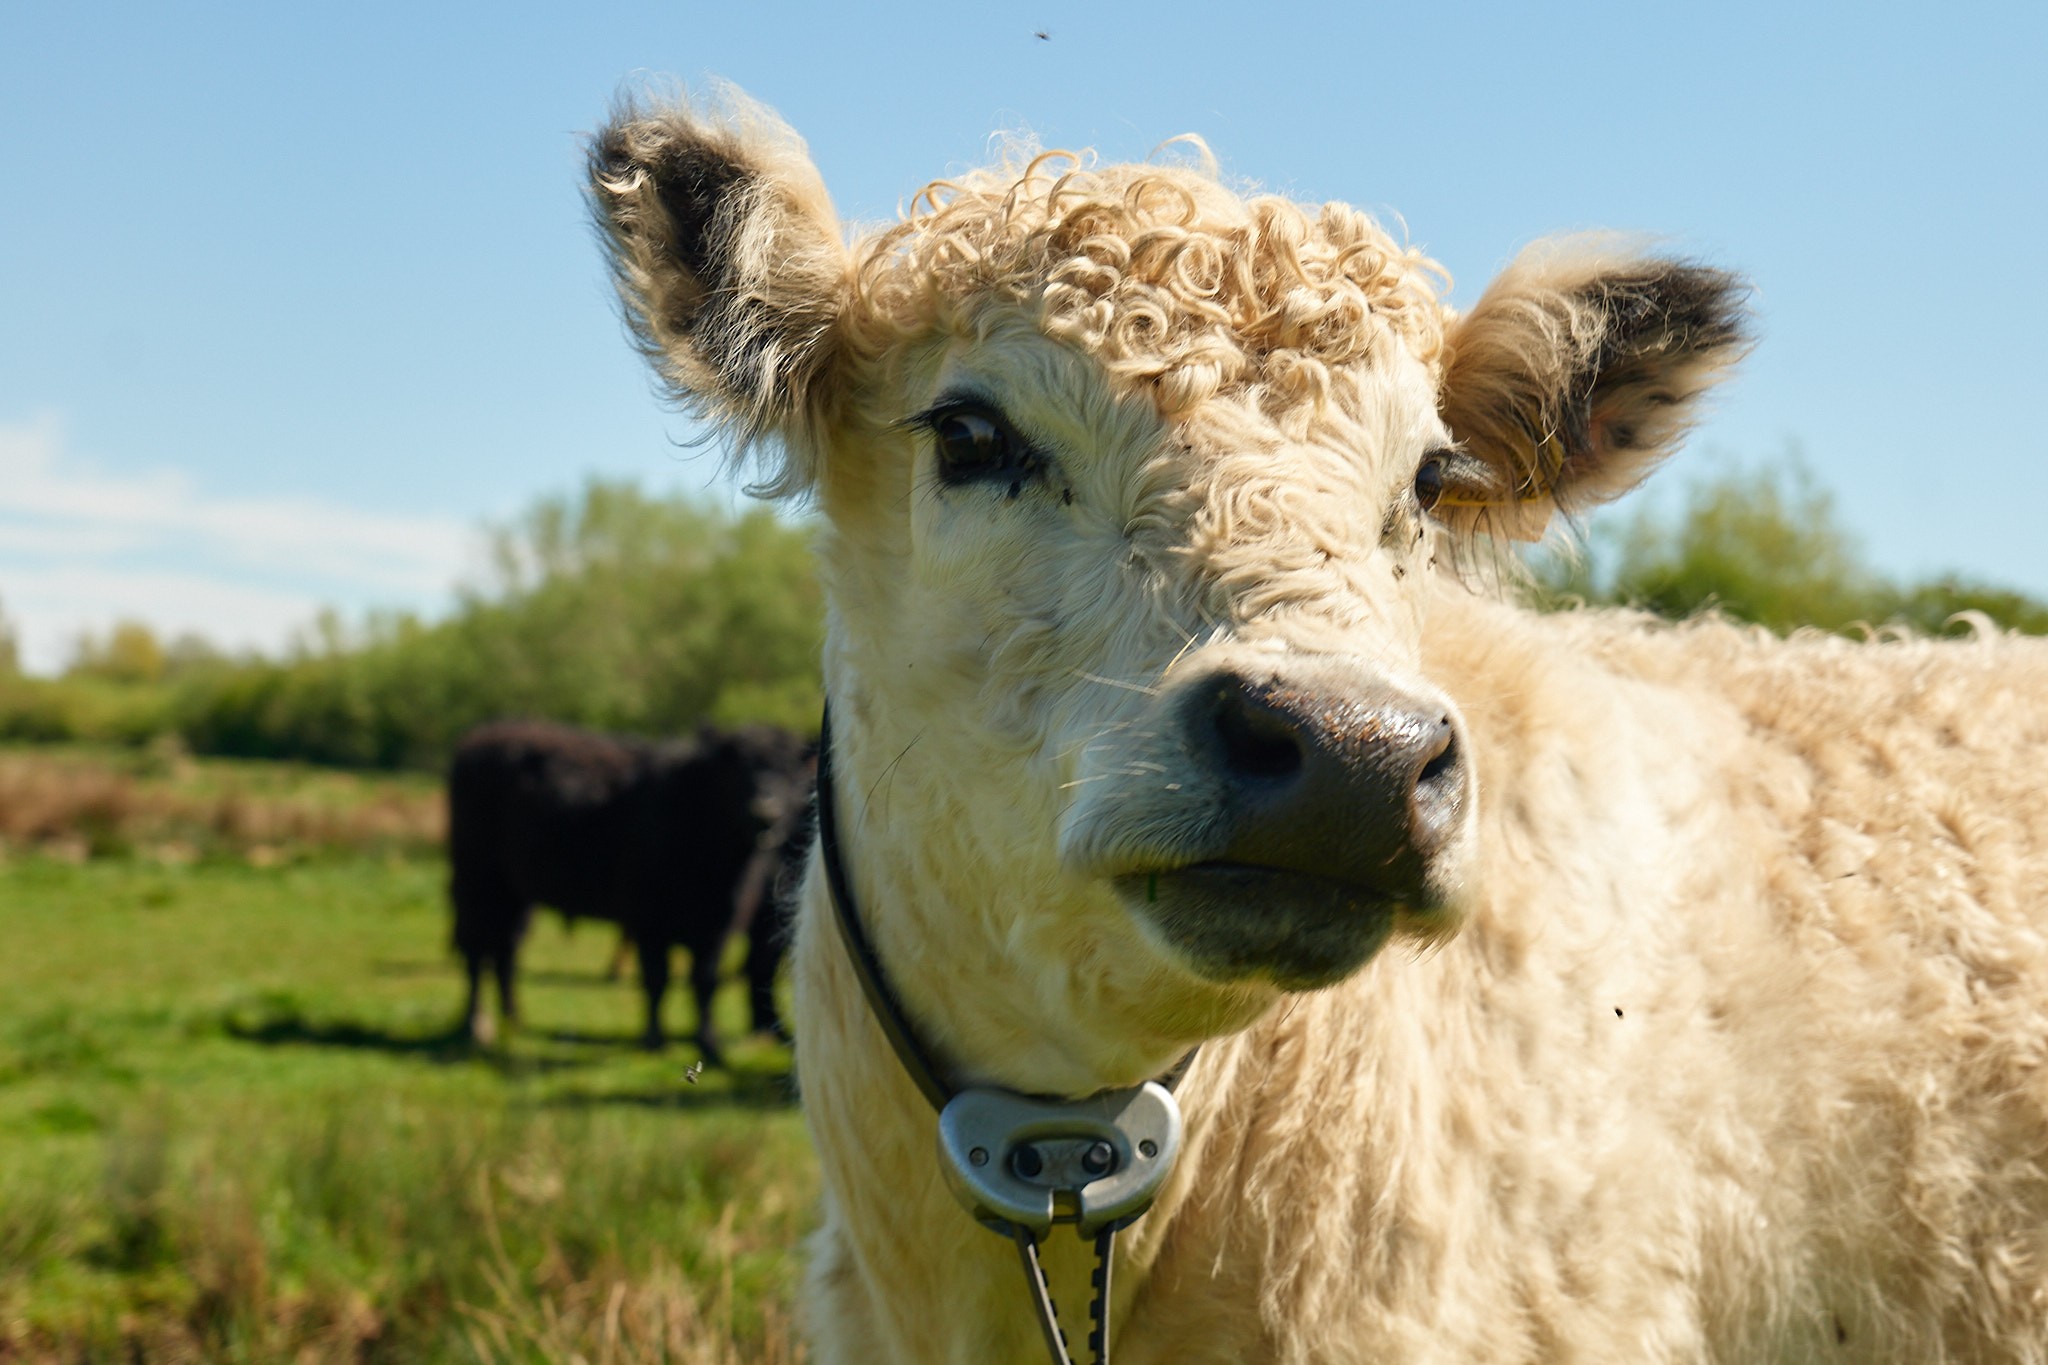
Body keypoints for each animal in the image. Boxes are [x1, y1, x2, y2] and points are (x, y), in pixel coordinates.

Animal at [447, 718, 810, 1061]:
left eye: (791, 772)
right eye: (738, 767)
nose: (766, 810)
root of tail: (478, 739)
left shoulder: (718, 925)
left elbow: (705, 982)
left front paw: (710, 1045)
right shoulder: (648, 918)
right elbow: (657, 979)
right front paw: (655, 1041)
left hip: (514, 894)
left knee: (504, 951)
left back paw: (513, 1018)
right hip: (475, 881)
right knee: (476, 951)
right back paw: (473, 1026)